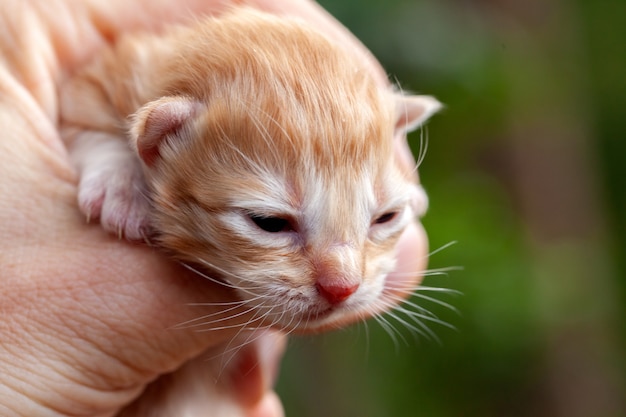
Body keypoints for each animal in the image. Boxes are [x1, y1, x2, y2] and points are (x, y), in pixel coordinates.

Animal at [59, 6, 438, 412]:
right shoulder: (103, 77)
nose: (342, 288)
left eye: (386, 218)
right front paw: (120, 189)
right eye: (269, 222)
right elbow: (88, 121)